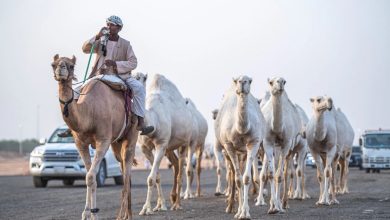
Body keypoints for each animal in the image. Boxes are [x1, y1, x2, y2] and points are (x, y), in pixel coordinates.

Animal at [51, 53, 138, 220]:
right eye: (53, 64)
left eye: (71, 65)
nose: (61, 69)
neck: (89, 111)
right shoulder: (81, 143)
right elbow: (88, 176)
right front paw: (86, 213)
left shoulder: (103, 141)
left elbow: (91, 176)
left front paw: (94, 213)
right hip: (116, 143)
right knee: (125, 171)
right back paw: (126, 214)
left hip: (131, 135)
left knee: (127, 173)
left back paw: (123, 215)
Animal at [136, 73, 193, 215]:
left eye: (141, 78)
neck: (153, 120)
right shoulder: (145, 148)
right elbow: (156, 176)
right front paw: (159, 205)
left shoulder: (161, 144)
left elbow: (151, 178)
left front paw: (146, 209)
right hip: (169, 147)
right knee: (175, 164)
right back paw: (168, 201)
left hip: (184, 143)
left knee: (180, 172)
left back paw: (177, 204)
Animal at [213, 75, 266, 218]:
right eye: (237, 80)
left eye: (250, 80)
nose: (242, 82)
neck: (241, 129)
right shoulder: (229, 146)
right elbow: (237, 180)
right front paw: (239, 212)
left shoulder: (253, 143)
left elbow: (246, 178)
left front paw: (245, 212)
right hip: (229, 151)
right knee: (232, 175)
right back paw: (231, 207)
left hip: (244, 152)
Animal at [256, 77, 302, 213]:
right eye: (271, 82)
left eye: (284, 81)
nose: (280, 84)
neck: (277, 128)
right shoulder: (268, 143)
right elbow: (271, 174)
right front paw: (272, 207)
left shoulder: (286, 144)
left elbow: (280, 175)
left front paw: (278, 207)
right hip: (272, 147)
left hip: (289, 147)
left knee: (285, 172)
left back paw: (284, 203)